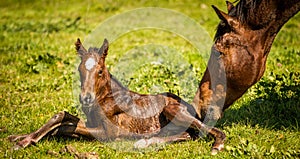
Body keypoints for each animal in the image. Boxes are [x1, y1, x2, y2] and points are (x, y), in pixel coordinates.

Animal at [8, 38, 225, 154]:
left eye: (100, 71)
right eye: (79, 69)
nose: (85, 98)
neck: (104, 98)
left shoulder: (108, 133)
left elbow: (64, 124)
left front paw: (23, 142)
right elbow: (62, 119)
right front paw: (19, 137)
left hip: (172, 110)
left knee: (207, 132)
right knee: (186, 135)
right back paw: (146, 141)